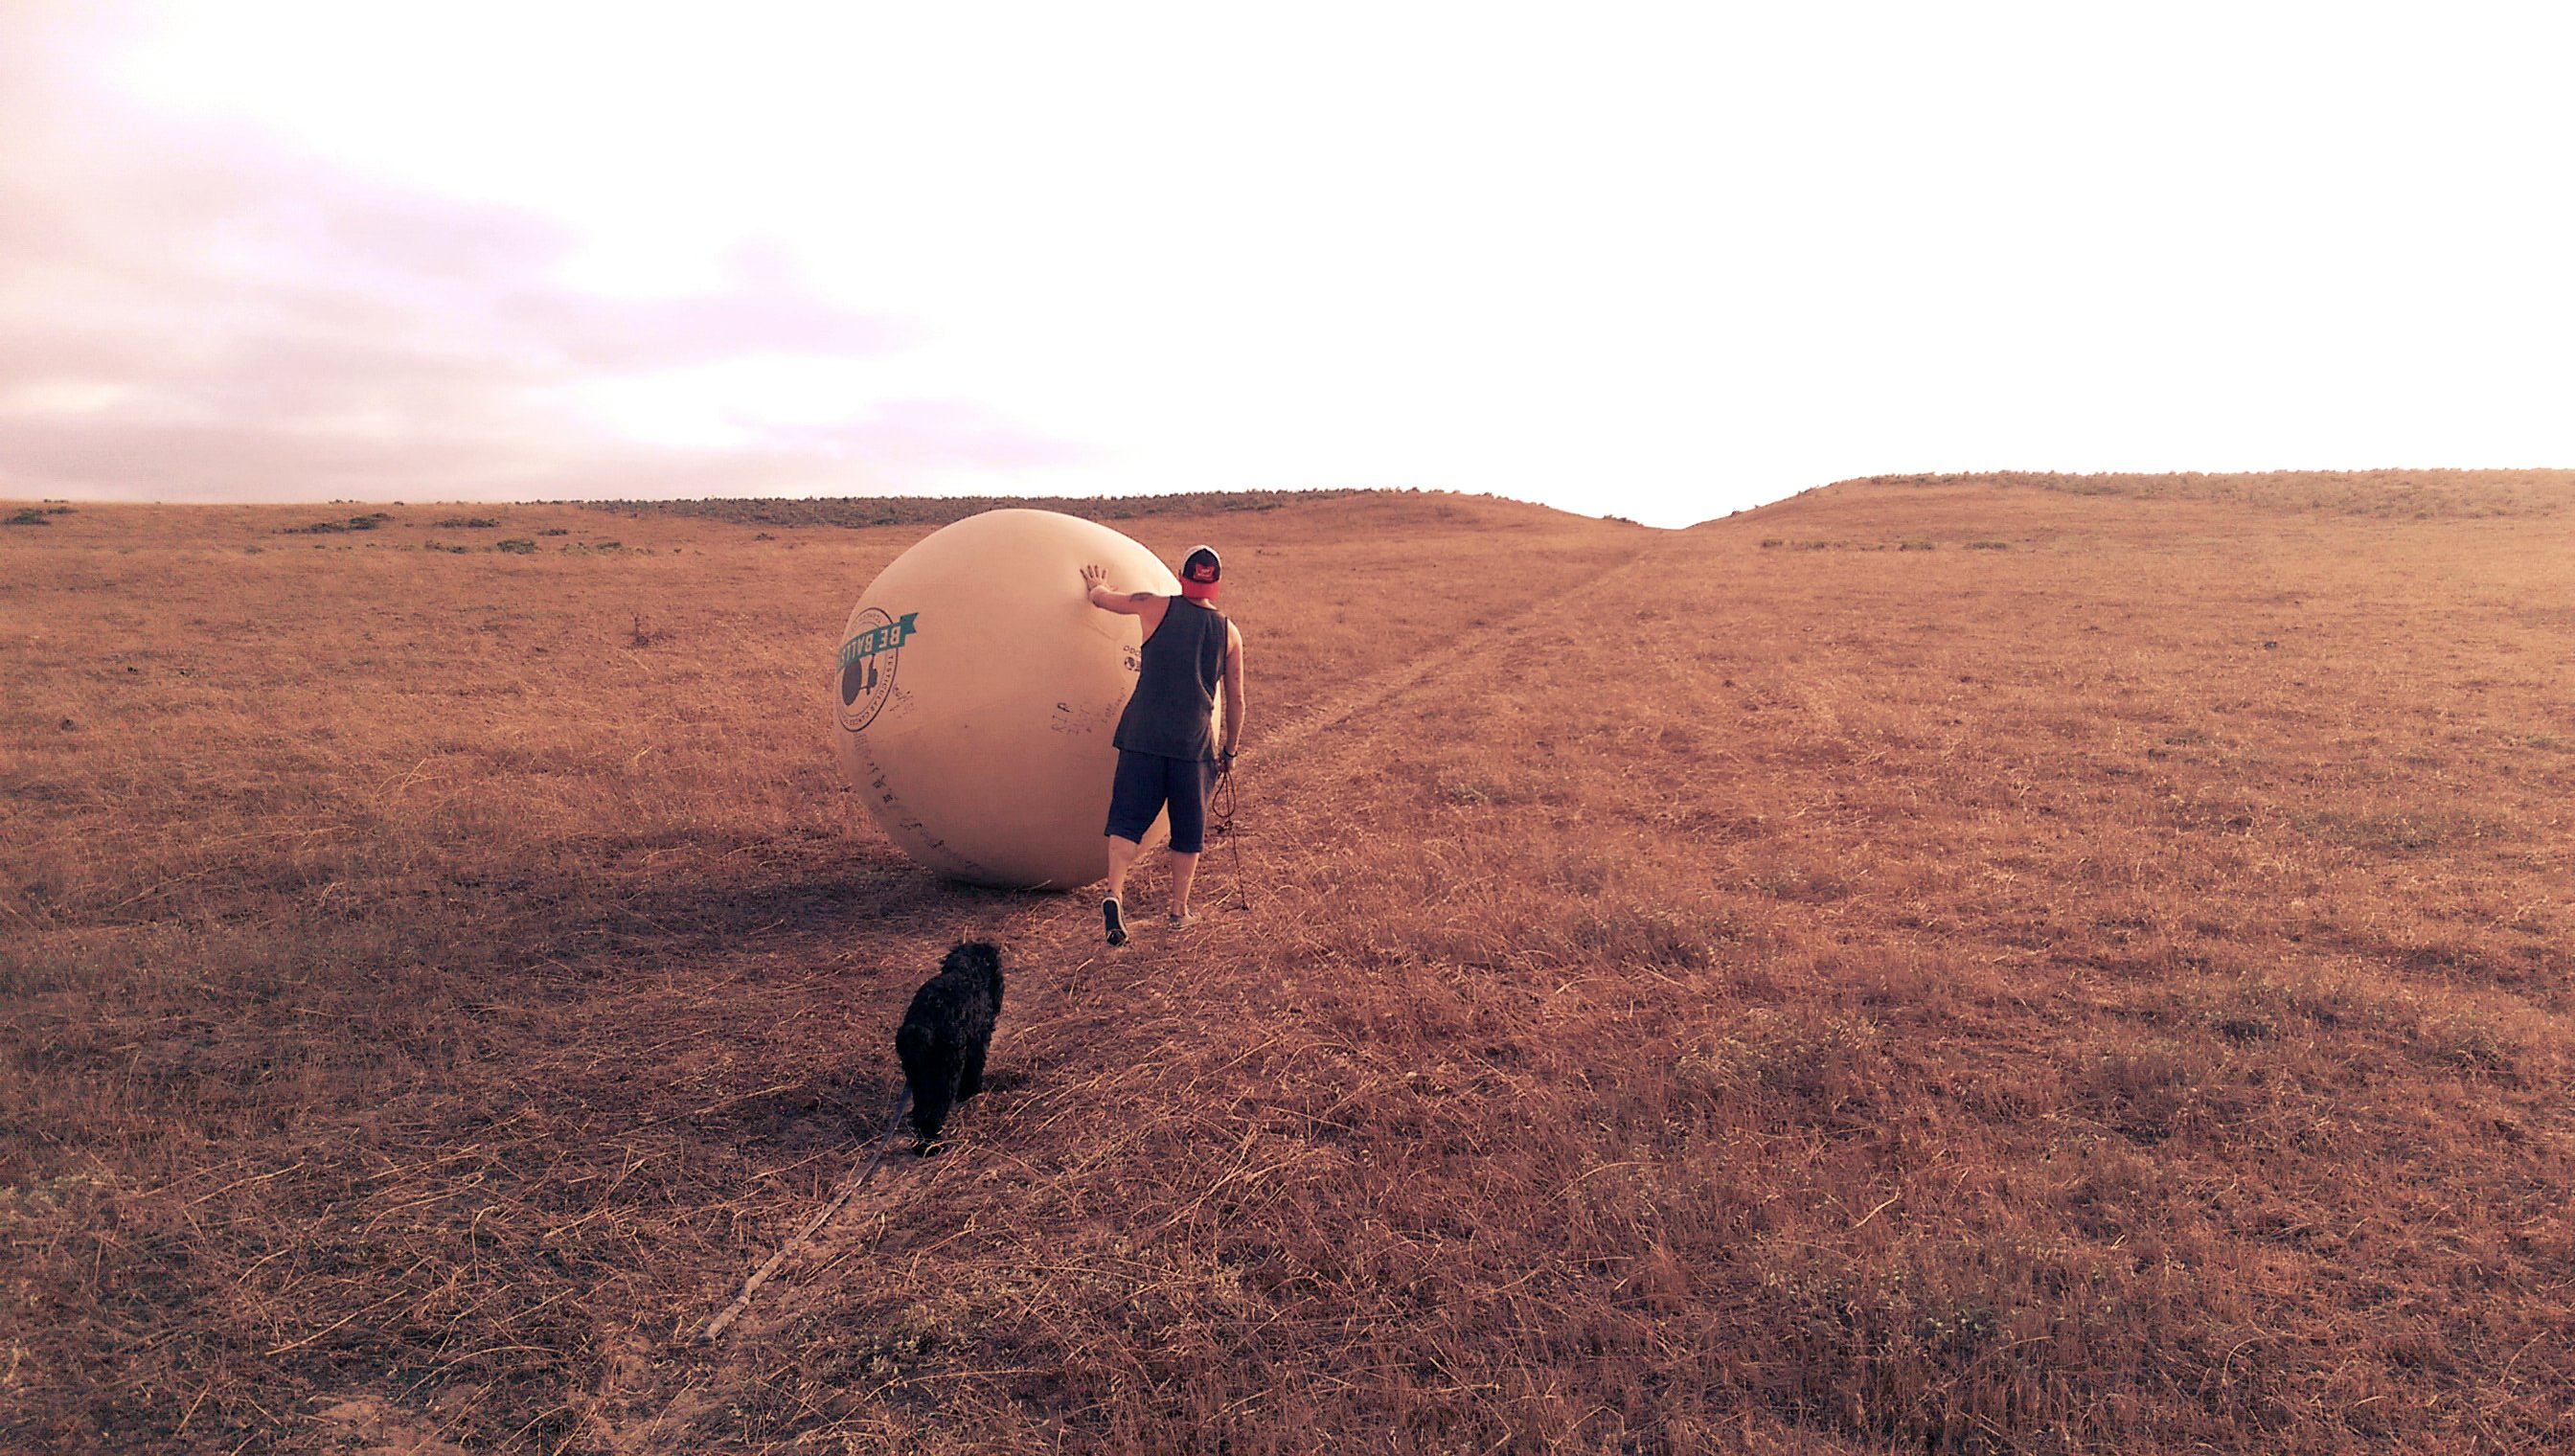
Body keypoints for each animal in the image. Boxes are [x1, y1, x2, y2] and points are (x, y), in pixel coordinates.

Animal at [891, 938, 998, 1154]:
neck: (969, 970)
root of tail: (923, 1025)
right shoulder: (978, 1040)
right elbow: (975, 1067)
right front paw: (971, 1091)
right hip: (945, 1073)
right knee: (934, 1111)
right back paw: (931, 1147)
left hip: (918, 1076)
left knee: (921, 1110)